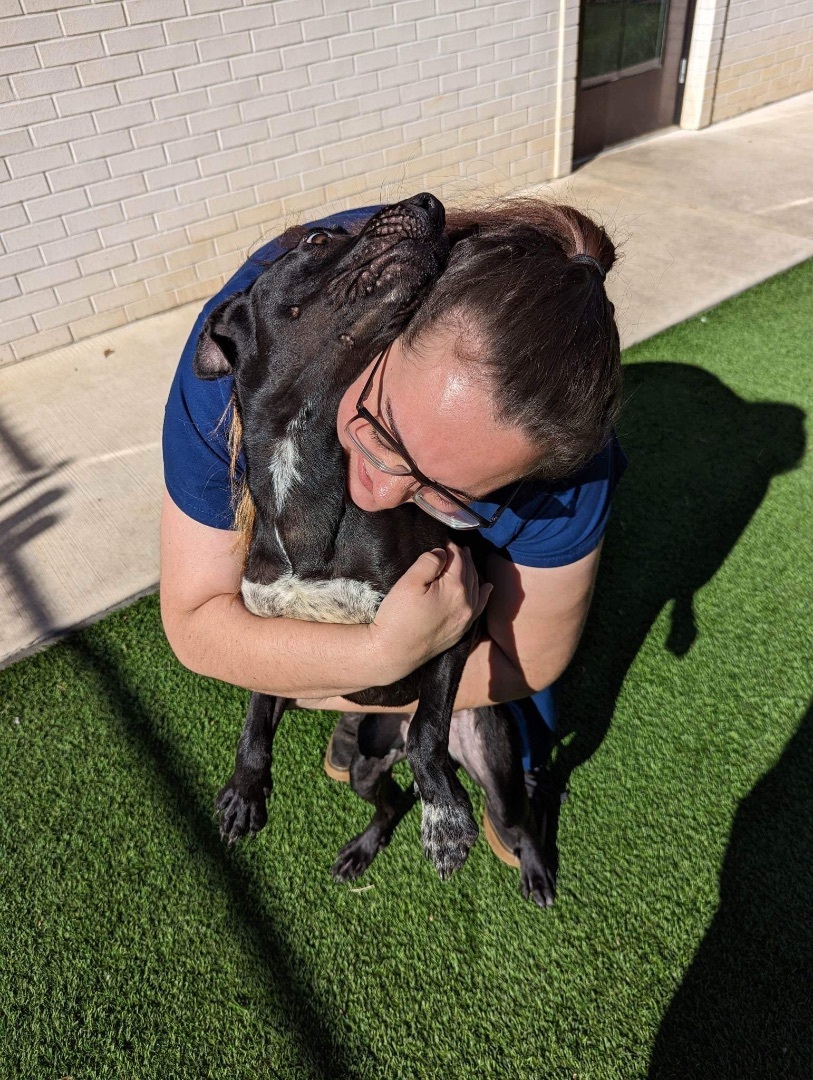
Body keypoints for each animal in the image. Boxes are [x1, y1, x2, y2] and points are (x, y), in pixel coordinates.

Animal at [194, 196, 557, 902]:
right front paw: (246, 787)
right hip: (364, 760)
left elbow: (427, 732)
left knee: (513, 814)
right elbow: (254, 711)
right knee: (388, 799)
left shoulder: (452, 623)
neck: (309, 488)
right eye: (315, 238)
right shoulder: (270, 630)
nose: (429, 202)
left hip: (493, 761)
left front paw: (445, 823)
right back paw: (362, 849)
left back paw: (531, 866)